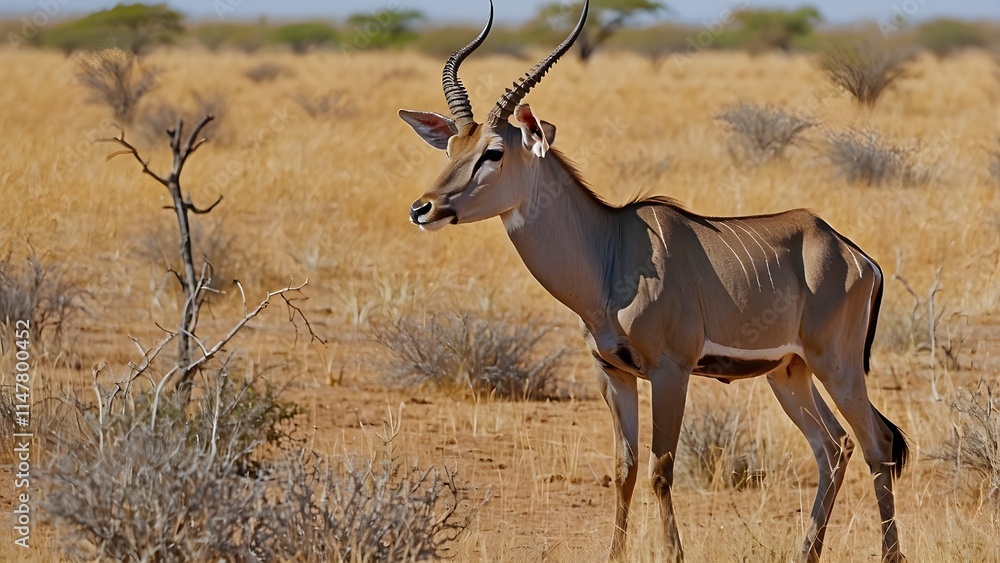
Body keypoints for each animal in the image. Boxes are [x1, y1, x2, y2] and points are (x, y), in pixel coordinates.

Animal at [397, 1, 907, 561]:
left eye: (493, 151)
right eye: (451, 146)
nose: (424, 208)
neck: (611, 250)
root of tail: (851, 251)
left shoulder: (670, 372)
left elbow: (661, 471)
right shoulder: (613, 374)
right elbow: (626, 469)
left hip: (837, 367)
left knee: (876, 445)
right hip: (789, 373)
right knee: (833, 447)